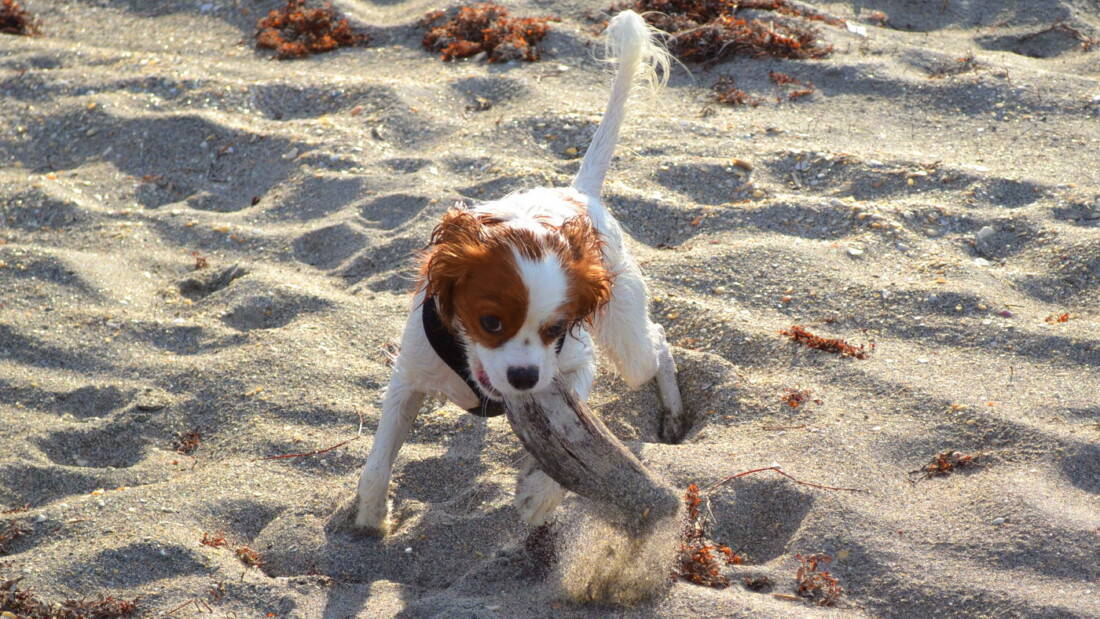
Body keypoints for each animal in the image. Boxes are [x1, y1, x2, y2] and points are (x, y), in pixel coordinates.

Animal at [354, 8, 677, 532]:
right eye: (490, 322)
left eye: (556, 330)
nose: (524, 378)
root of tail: (578, 191)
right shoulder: (406, 378)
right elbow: (378, 460)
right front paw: (369, 517)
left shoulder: (574, 363)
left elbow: (569, 438)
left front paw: (540, 497)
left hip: (629, 347)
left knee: (660, 344)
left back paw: (673, 415)